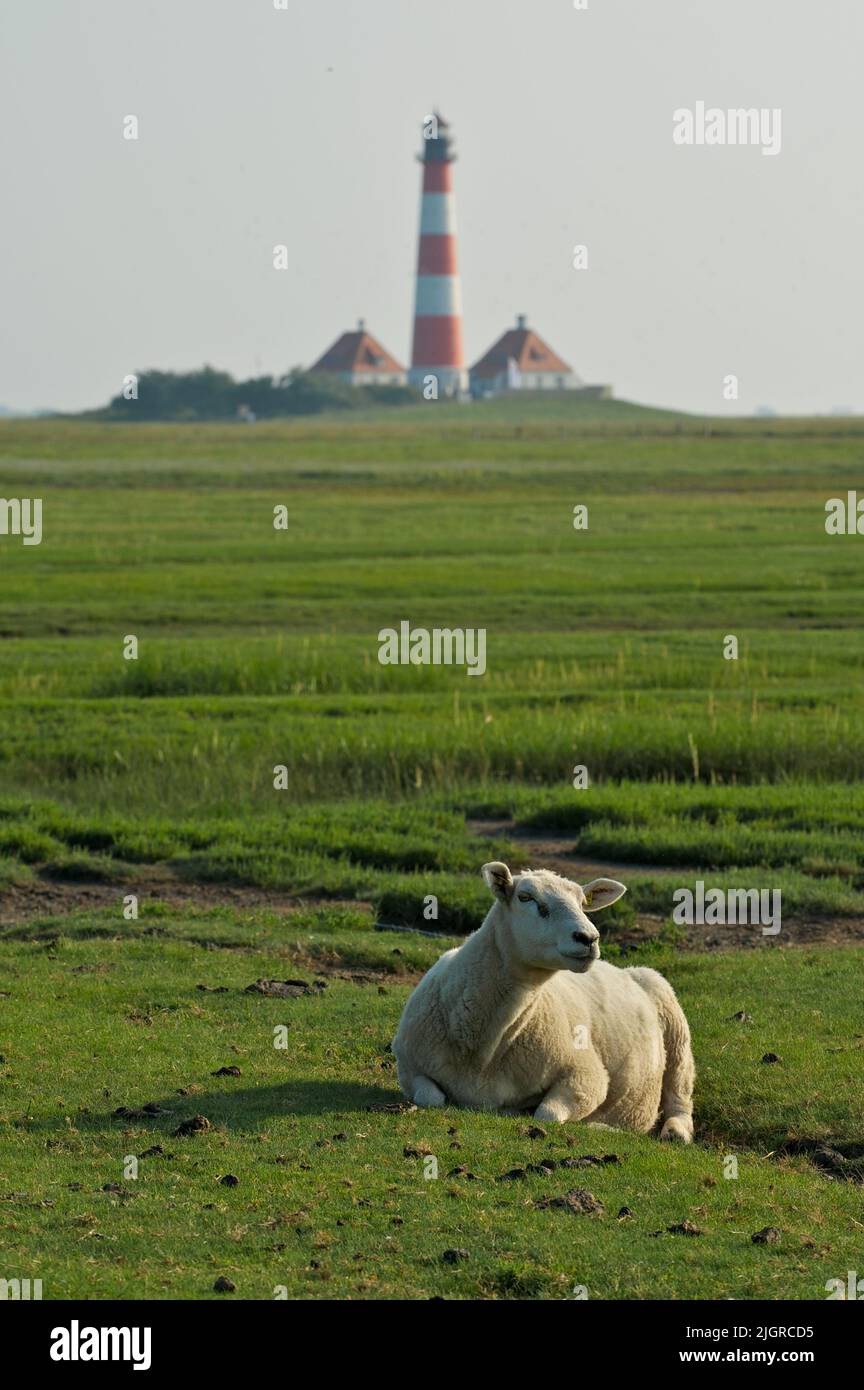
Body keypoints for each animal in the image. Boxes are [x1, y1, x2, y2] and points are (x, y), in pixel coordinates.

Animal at [392, 861, 694, 1141]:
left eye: (583, 903)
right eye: (526, 897)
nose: (589, 938)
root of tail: (627, 970)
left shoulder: (587, 1076)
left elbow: (547, 1114)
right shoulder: (408, 1067)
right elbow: (431, 1098)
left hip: (676, 1032)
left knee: (680, 1094)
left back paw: (672, 1130)